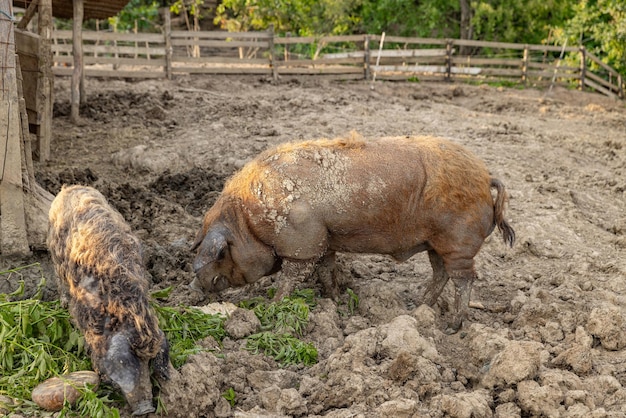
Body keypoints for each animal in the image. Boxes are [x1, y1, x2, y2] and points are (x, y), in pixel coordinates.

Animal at [193, 136, 516, 332]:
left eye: (221, 253)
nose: (197, 284)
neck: (248, 218)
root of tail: (486, 176)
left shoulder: (302, 243)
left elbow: (291, 277)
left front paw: (272, 306)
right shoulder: (324, 242)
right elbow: (326, 269)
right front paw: (334, 299)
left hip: (458, 240)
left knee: (464, 278)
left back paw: (452, 326)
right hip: (435, 242)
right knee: (441, 274)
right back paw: (417, 308)